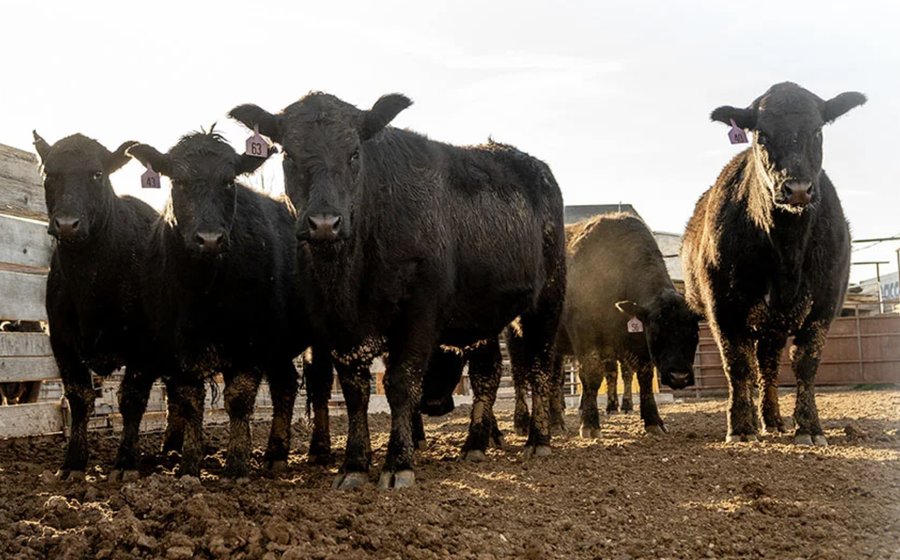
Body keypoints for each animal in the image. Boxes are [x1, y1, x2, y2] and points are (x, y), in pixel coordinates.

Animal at [33, 132, 184, 481]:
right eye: (50, 175)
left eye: (97, 174)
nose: (67, 224)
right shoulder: (62, 340)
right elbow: (79, 398)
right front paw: (73, 463)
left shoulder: (144, 346)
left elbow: (131, 399)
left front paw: (126, 462)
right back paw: (169, 450)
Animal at [128, 130, 331, 477]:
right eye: (178, 181)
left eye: (228, 181)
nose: (209, 239)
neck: (205, 290)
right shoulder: (178, 346)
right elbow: (189, 400)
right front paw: (188, 465)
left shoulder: (250, 342)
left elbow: (238, 398)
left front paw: (236, 463)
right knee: (286, 385)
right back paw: (275, 453)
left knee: (319, 384)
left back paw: (319, 449)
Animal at [230, 92, 566, 489]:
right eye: (289, 155)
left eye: (354, 153)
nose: (325, 223)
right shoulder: (336, 326)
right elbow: (355, 391)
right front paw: (354, 465)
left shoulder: (420, 311)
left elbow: (402, 384)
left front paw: (398, 463)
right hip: (485, 315)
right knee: (488, 374)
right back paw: (474, 445)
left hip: (547, 300)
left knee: (540, 366)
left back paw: (538, 440)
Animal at [557, 214, 699, 438]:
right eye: (656, 332)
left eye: (694, 333)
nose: (679, 377)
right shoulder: (586, 336)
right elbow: (592, 375)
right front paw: (589, 424)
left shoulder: (635, 344)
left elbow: (643, 377)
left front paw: (653, 421)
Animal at [681, 82, 864, 444]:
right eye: (761, 135)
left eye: (818, 130)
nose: (797, 188)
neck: (787, 251)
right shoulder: (722, 306)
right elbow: (736, 364)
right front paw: (740, 428)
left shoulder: (825, 303)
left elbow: (806, 362)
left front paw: (808, 427)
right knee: (753, 368)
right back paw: (755, 420)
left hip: (772, 327)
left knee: (767, 368)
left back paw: (773, 420)